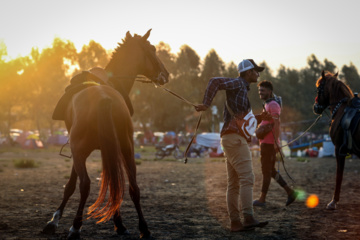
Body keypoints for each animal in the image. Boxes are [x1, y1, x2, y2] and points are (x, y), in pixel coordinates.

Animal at [43, 29, 169, 239]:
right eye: (152, 49)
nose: (166, 74)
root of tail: (104, 98)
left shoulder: (79, 151)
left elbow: (71, 185)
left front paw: (54, 220)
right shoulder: (108, 149)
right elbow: (113, 184)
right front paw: (119, 224)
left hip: (81, 150)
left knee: (85, 185)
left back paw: (75, 227)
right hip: (126, 147)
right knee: (133, 187)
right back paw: (144, 229)